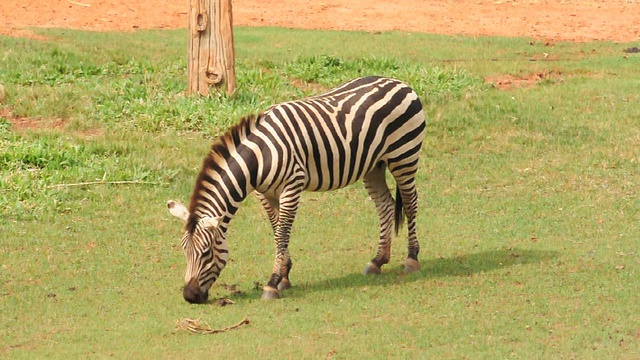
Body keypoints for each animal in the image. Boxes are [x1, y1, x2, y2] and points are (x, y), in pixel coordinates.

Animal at [168, 76, 428, 304]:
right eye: (184, 251)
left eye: (206, 253)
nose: (189, 296)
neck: (259, 158)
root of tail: (399, 82)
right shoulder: (265, 194)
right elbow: (276, 230)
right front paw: (284, 276)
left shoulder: (292, 186)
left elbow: (282, 233)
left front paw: (272, 283)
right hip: (374, 165)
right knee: (385, 205)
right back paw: (377, 261)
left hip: (404, 156)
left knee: (411, 202)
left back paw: (412, 259)